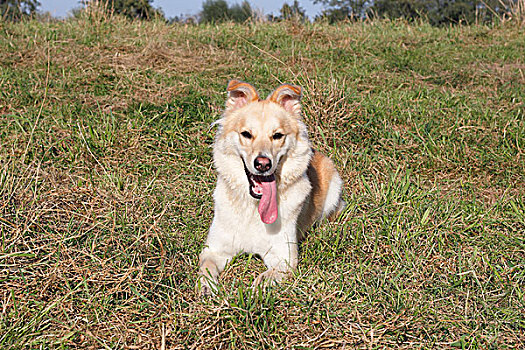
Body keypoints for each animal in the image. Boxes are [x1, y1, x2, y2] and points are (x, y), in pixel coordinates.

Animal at [196, 80, 344, 296]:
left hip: (333, 188)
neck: (253, 207)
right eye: (246, 134)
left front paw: (252, 292)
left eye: (277, 135)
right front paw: (207, 287)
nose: (263, 164)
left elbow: (264, 278)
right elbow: (206, 268)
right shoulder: (214, 249)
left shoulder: (284, 259)